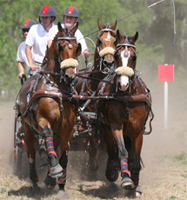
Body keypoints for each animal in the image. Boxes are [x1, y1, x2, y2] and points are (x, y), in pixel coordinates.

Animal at [18, 21, 81, 195]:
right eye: (61, 46)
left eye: (76, 47)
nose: (70, 75)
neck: (56, 88)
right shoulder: (42, 120)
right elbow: (46, 135)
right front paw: (53, 169)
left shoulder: (68, 129)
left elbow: (64, 157)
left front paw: (60, 185)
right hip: (27, 130)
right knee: (31, 154)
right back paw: (35, 181)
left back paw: (50, 179)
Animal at [74, 20, 117, 170]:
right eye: (99, 41)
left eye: (115, 41)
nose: (109, 63)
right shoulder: (89, 117)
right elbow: (92, 140)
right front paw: (93, 163)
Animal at [95, 30, 154, 197]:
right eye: (116, 55)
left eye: (133, 57)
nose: (123, 84)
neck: (127, 97)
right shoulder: (116, 125)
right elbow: (122, 151)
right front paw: (126, 179)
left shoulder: (138, 129)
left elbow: (135, 158)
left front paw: (135, 185)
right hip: (106, 129)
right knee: (112, 150)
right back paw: (112, 170)